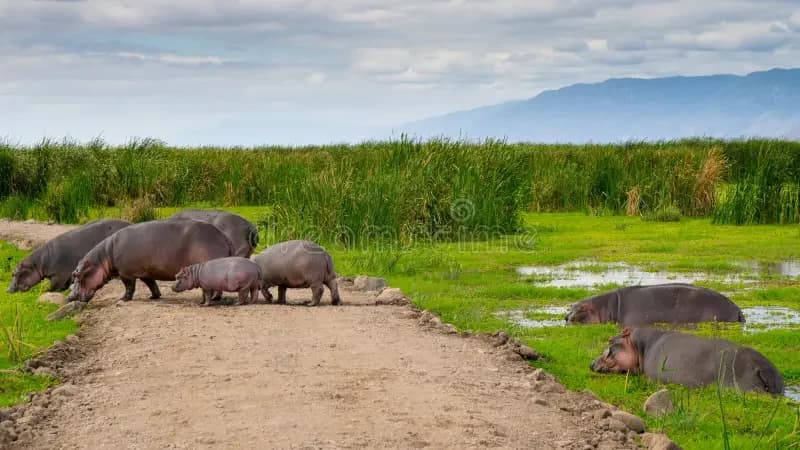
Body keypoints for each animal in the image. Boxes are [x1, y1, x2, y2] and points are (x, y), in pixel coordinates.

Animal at [68, 219, 234, 302]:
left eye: (77, 275)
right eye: (73, 274)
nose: (70, 297)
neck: (105, 256)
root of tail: (223, 236)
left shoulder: (126, 273)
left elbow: (129, 287)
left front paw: (123, 299)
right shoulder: (145, 272)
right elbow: (151, 284)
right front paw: (154, 296)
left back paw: (213, 298)